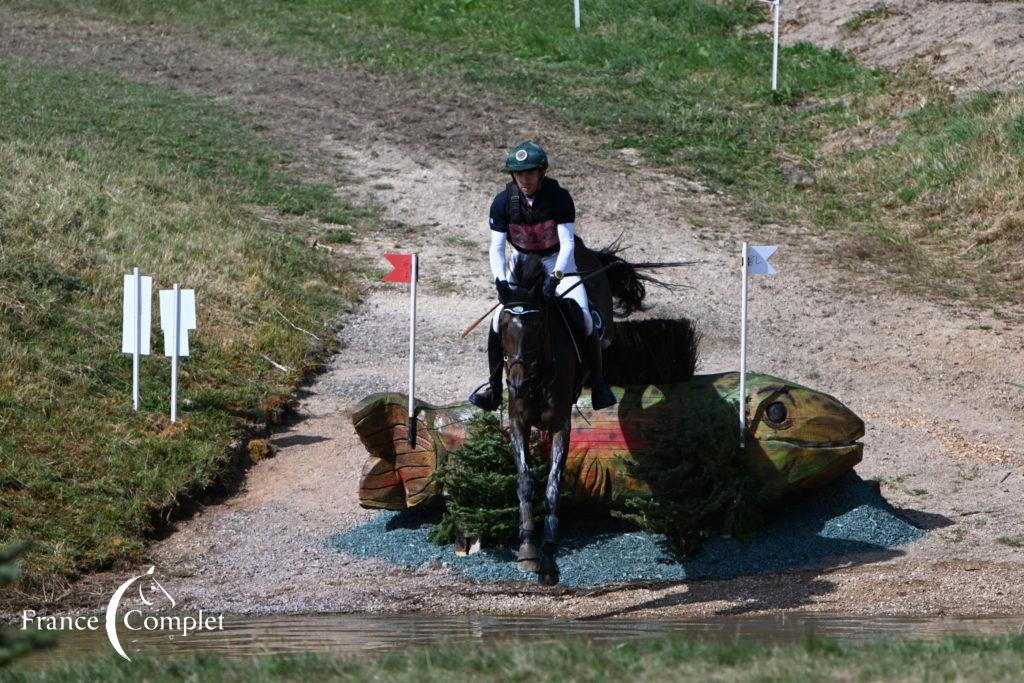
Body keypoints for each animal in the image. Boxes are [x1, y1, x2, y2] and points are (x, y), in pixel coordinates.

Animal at [499, 241, 667, 589]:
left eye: (537, 326)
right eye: (505, 327)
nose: (517, 384)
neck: (537, 377)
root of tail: (586, 249)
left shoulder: (561, 425)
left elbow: (552, 487)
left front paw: (549, 560)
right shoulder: (518, 423)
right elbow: (525, 481)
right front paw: (527, 550)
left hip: (601, 325)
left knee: (598, 332)